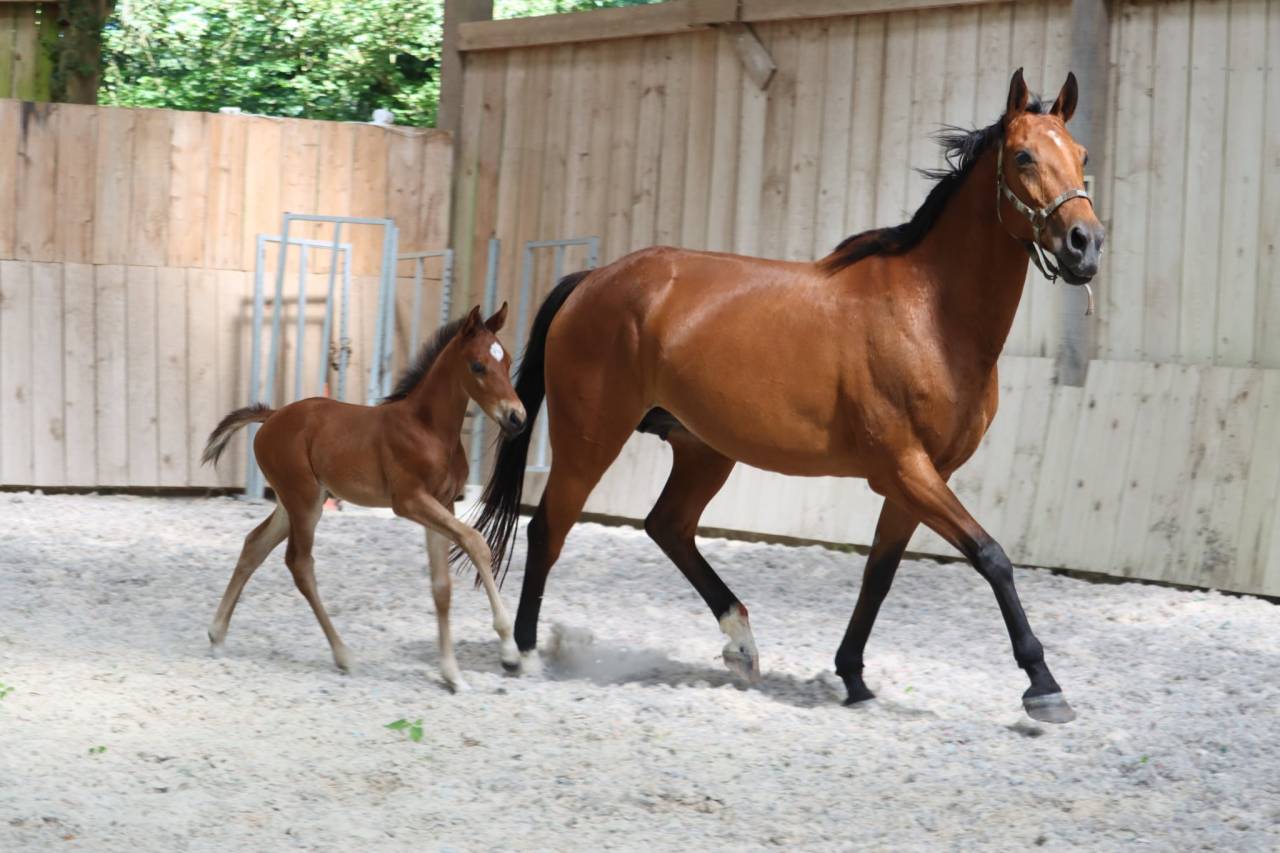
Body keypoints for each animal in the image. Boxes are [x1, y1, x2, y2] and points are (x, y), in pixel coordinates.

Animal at [200, 304, 527, 692]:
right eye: (477, 366)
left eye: (507, 361)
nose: (517, 417)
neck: (428, 429)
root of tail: (273, 415)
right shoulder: (410, 501)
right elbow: (476, 542)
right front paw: (509, 653)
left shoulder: (442, 503)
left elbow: (441, 586)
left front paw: (453, 675)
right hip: (305, 502)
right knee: (300, 564)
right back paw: (343, 655)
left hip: (291, 502)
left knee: (254, 545)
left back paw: (217, 635)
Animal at [471, 69, 1104, 724]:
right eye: (1024, 156)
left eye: (1082, 156)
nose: (1085, 244)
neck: (931, 315)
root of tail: (591, 281)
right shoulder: (903, 467)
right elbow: (991, 556)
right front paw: (1043, 685)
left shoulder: (922, 476)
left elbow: (880, 574)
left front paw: (853, 675)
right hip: (592, 437)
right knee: (549, 528)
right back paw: (526, 653)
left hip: (703, 449)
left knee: (667, 526)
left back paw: (741, 646)